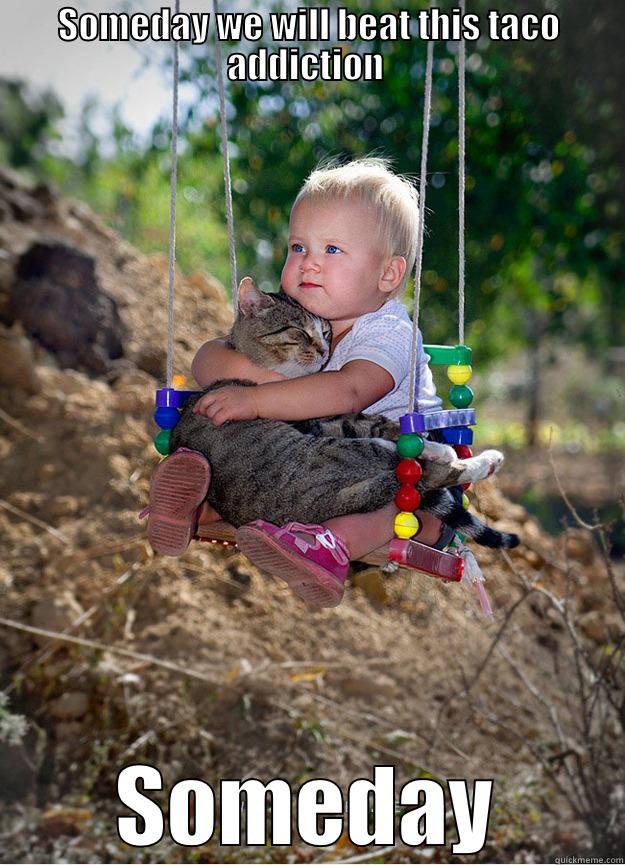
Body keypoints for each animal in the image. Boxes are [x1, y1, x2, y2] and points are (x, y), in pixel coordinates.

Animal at [171, 278, 516, 548]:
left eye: (326, 332)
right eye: (299, 332)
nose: (325, 351)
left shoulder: (326, 418)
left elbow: (376, 422)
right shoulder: (320, 421)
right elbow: (377, 424)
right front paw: (436, 447)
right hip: (340, 453)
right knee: (422, 471)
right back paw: (472, 457)